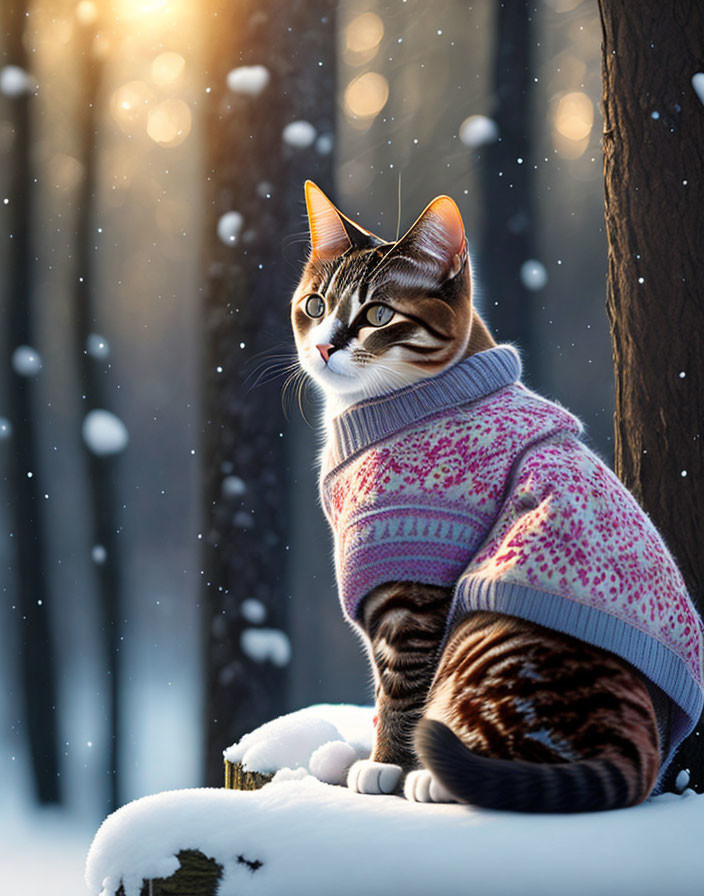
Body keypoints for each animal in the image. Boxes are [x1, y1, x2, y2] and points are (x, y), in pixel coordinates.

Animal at [288, 182, 700, 812]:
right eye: (314, 305)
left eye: (378, 314)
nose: (326, 347)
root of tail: (633, 743)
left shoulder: (419, 591)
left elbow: (402, 689)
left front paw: (386, 763)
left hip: (486, 632)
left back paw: (431, 777)